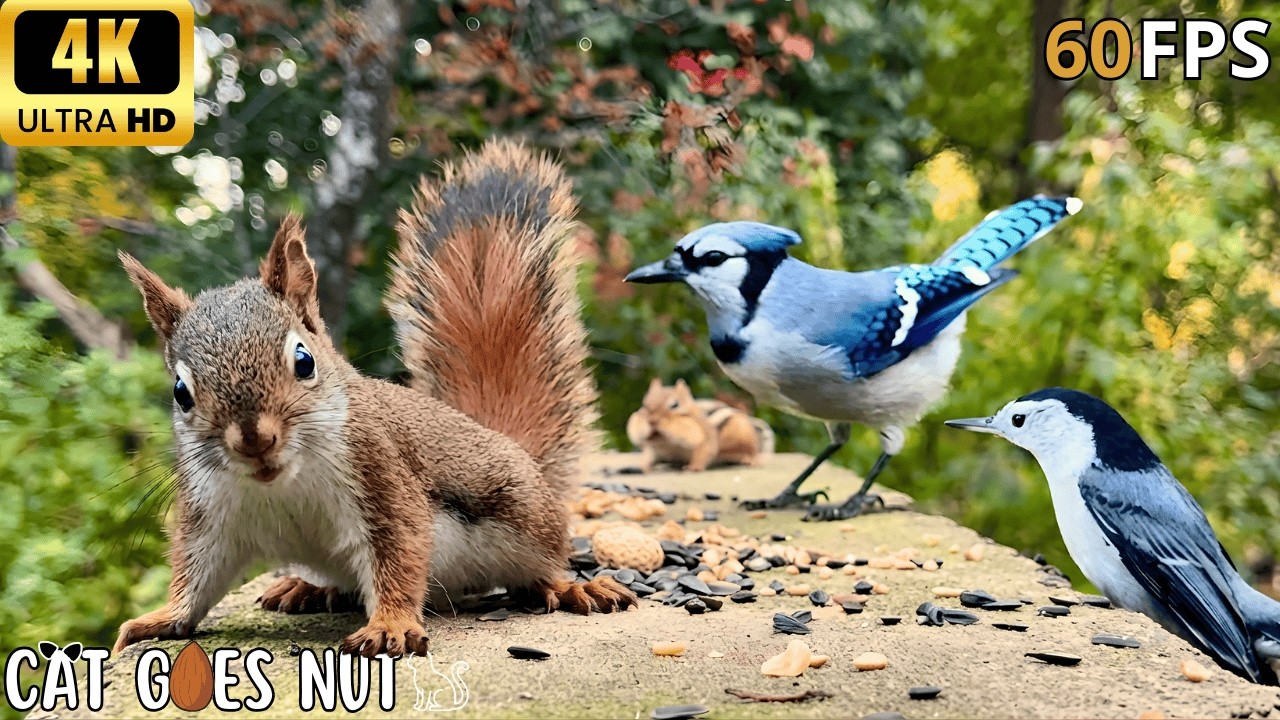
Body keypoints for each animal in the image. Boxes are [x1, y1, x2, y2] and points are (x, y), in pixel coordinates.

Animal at [112, 140, 636, 658]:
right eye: (181, 392)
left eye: (304, 361)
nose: (254, 441)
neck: (282, 485)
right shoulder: (210, 517)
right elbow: (196, 577)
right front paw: (161, 618)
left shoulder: (382, 477)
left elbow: (399, 554)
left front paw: (390, 625)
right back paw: (308, 588)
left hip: (527, 521)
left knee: (540, 569)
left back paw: (570, 586)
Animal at [625, 378, 774, 472]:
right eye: (645, 403)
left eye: (674, 405)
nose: (651, 420)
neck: (668, 443)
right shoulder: (654, 449)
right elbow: (648, 456)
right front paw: (644, 467)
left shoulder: (705, 438)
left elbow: (702, 451)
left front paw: (694, 467)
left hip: (746, 438)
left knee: (752, 450)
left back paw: (751, 460)